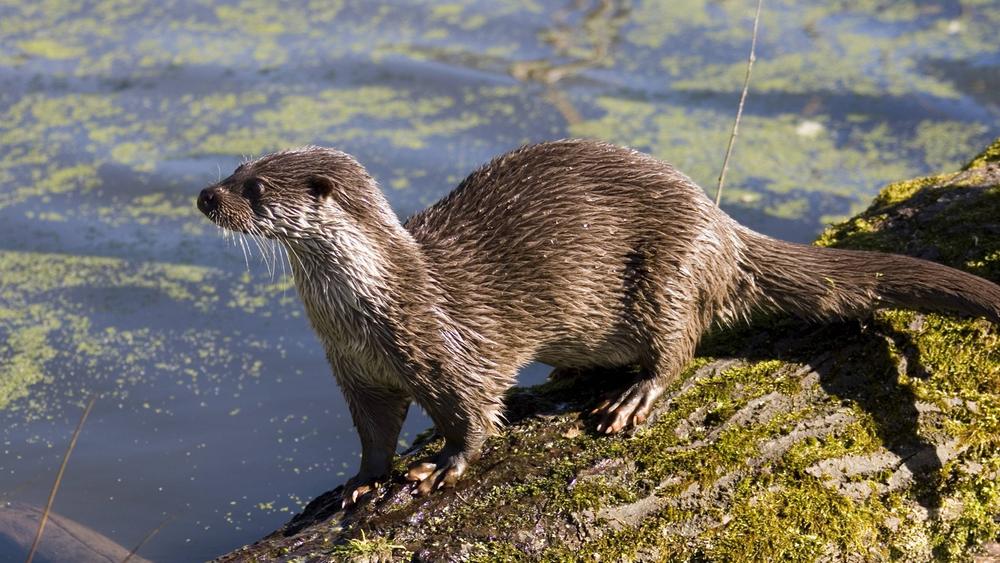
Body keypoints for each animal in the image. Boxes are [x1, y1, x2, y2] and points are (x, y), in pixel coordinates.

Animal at [195, 140, 1000, 502]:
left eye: (254, 187)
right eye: (233, 168)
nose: (206, 195)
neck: (367, 309)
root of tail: (720, 226)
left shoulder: (445, 348)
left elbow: (471, 414)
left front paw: (440, 466)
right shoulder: (357, 372)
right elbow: (371, 433)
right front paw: (357, 483)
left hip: (668, 273)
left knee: (680, 346)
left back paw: (630, 397)